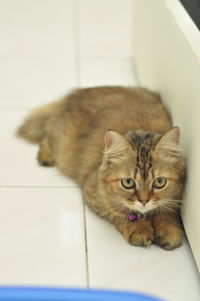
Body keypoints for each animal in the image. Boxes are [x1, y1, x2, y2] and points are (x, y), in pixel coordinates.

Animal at [17, 86, 186, 248]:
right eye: (128, 182)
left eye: (159, 182)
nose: (144, 201)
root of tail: (74, 94)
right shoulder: (94, 194)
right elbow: (122, 213)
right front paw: (139, 229)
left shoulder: (174, 198)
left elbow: (167, 213)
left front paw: (169, 231)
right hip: (61, 141)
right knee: (47, 136)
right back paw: (45, 157)